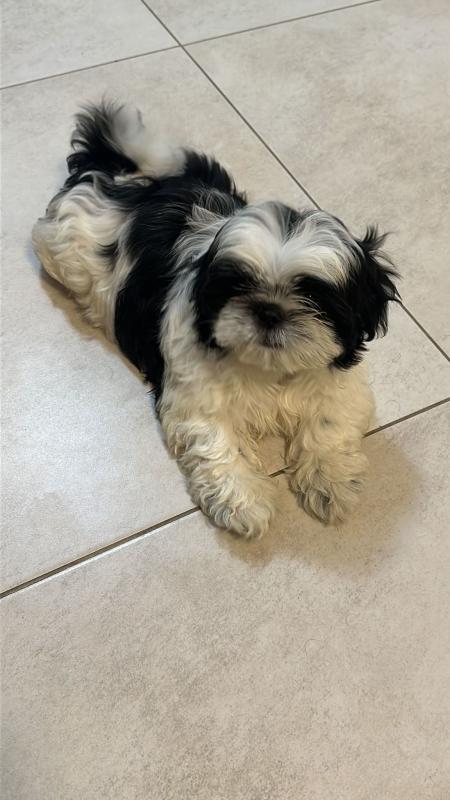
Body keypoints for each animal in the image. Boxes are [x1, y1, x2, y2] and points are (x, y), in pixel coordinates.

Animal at [33, 100, 398, 538]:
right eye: (237, 286)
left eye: (313, 295)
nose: (269, 311)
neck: (270, 368)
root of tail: (128, 185)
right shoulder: (197, 394)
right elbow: (218, 440)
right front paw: (244, 502)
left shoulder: (340, 383)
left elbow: (330, 423)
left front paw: (332, 482)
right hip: (65, 251)